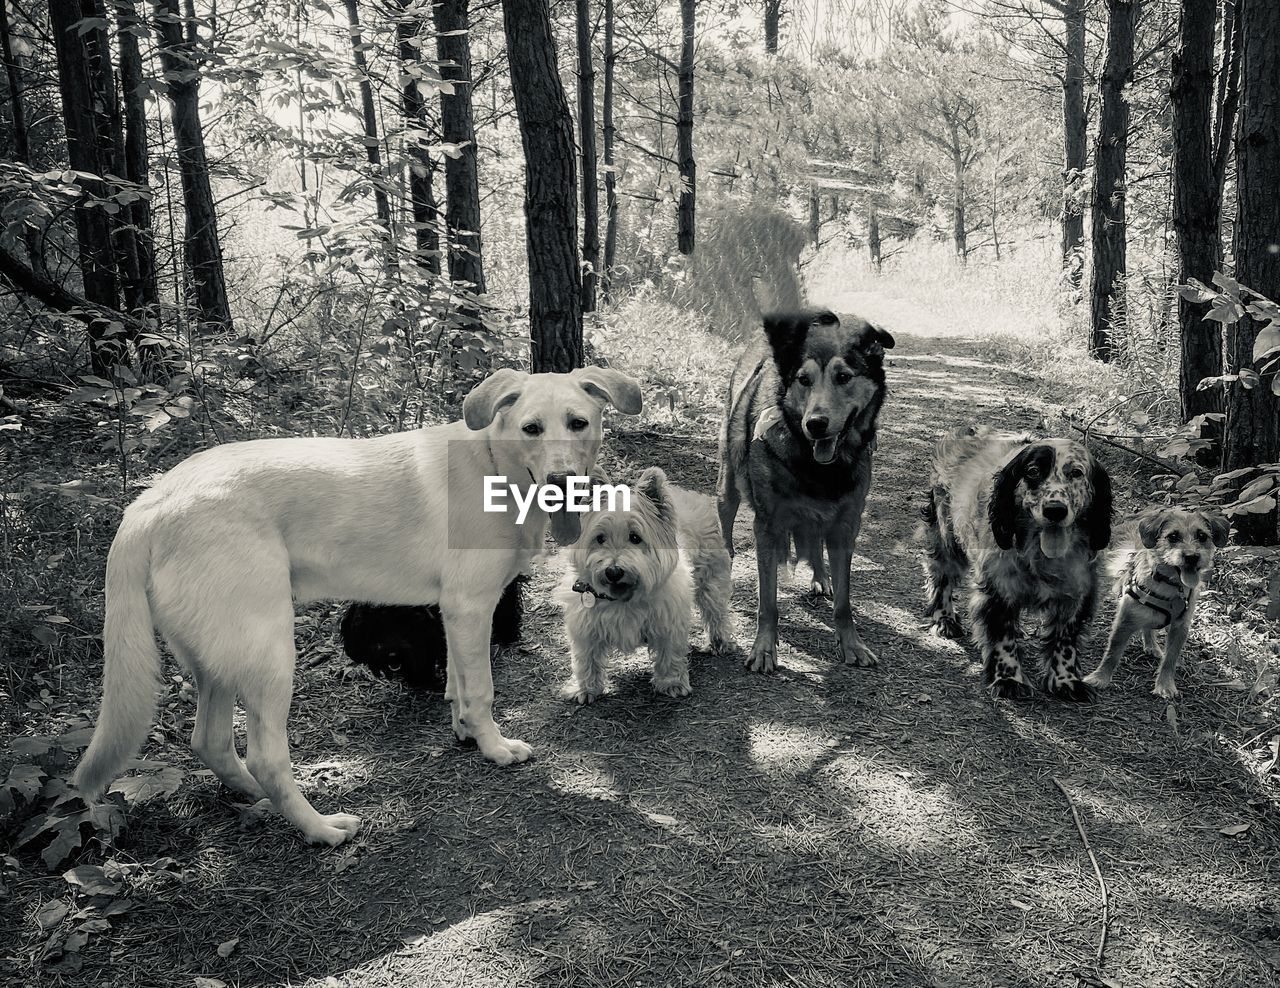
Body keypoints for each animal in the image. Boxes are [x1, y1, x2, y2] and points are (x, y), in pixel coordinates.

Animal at [716, 310, 896, 670]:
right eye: (803, 380)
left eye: (844, 377)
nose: (815, 424)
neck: (817, 466)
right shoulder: (767, 527)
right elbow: (768, 602)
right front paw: (763, 649)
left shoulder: (845, 525)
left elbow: (844, 602)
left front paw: (851, 644)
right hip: (728, 479)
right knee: (726, 517)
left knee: (816, 545)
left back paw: (821, 578)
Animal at [921, 427, 1111, 696]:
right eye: (1033, 472)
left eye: (1076, 472)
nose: (1055, 510)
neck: (1039, 554)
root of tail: (967, 429)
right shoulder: (998, 588)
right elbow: (1003, 635)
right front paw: (1009, 678)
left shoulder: (1078, 590)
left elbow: (1065, 640)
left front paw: (1066, 681)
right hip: (946, 538)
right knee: (941, 578)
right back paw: (945, 619)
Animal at [1080, 506, 1228, 696]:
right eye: (1173, 536)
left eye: (1202, 536)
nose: (1192, 556)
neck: (1169, 585)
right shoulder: (1124, 621)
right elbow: (1113, 652)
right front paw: (1100, 677)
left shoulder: (1180, 627)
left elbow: (1170, 659)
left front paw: (1165, 685)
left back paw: (1151, 645)